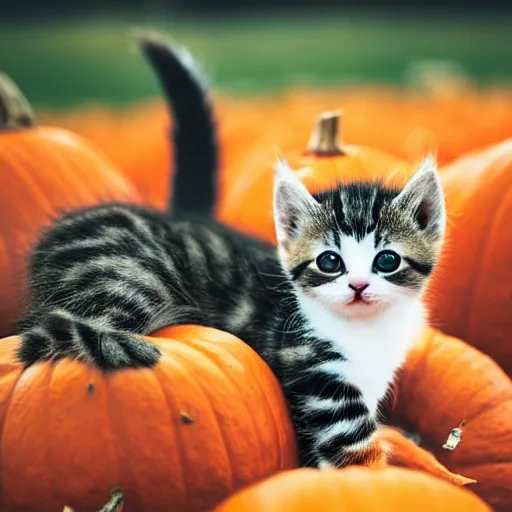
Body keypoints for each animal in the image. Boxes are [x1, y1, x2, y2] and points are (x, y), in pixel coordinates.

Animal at [16, 37, 444, 468]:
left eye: (386, 260)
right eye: (329, 262)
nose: (357, 286)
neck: (366, 332)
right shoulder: (313, 370)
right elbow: (357, 451)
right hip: (129, 277)